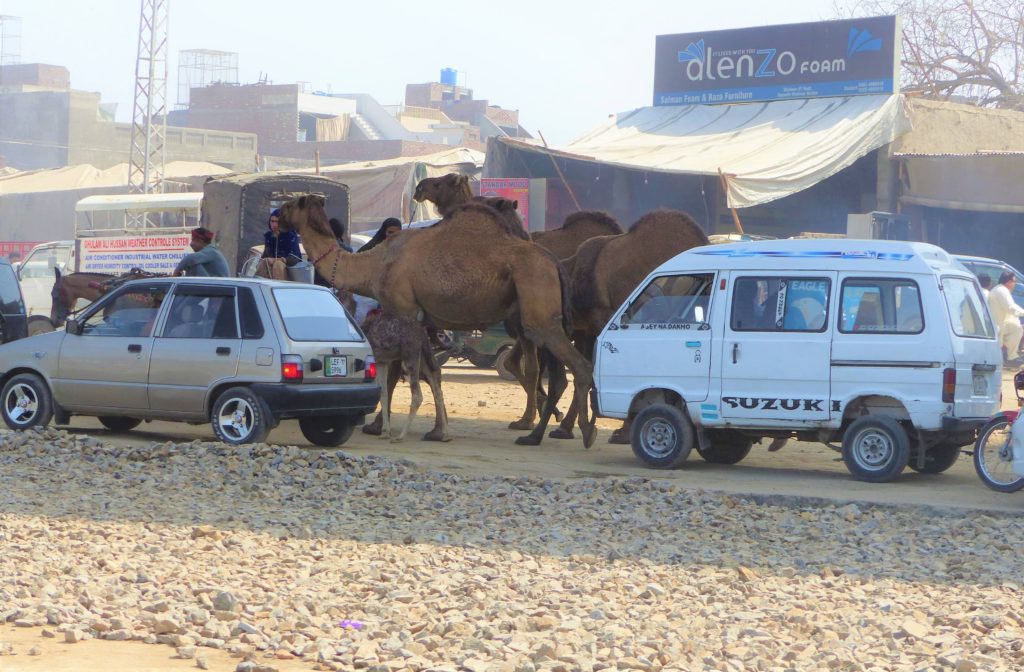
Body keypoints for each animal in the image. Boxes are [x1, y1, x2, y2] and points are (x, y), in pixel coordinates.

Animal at [364, 309, 452, 444]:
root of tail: (421, 333)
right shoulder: (381, 361)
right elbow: (383, 393)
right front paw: (385, 432)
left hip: (410, 358)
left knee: (417, 395)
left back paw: (400, 436)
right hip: (422, 358)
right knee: (437, 388)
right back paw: (445, 435)